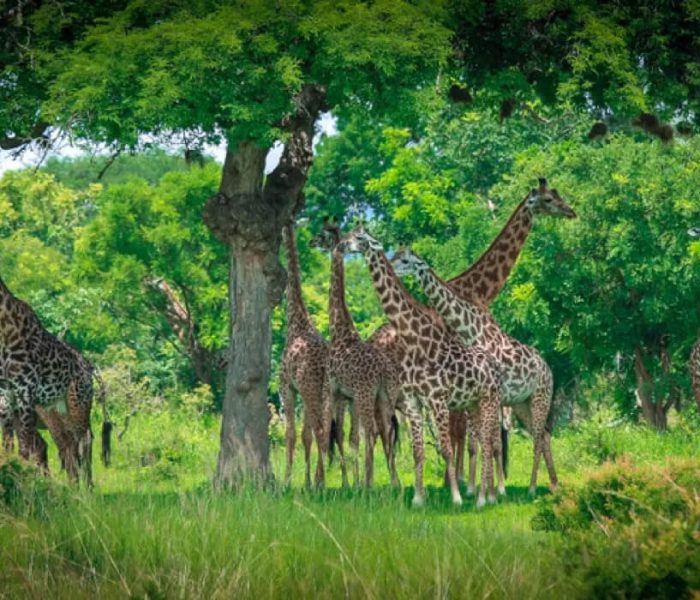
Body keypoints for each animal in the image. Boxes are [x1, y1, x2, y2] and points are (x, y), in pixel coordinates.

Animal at [0, 275, 110, 487]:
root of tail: (90, 368)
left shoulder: (25, 392)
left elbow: (24, 448)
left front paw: (23, 481)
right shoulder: (6, 394)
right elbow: (7, 445)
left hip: (77, 405)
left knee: (83, 441)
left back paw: (86, 489)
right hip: (60, 409)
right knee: (68, 446)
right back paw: (73, 487)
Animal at [311, 218, 401, 488]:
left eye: (322, 234)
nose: (311, 241)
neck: (339, 329)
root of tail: (382, 372)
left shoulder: (332, 389)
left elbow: (328, 433)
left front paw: (321, 482)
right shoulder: (347, 396)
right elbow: (350, 438)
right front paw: (350, 481)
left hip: (366, 393)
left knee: (373, 434)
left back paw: (370, 485)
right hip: (386, 396)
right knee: (387, 433)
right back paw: (393, 484)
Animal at [337, 227, 504, 507]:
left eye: (359, 238)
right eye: (350, 233)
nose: (341, 245)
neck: (417, 343)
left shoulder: (438, 399)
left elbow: (446, 449)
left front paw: (456, 498)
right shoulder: (414, 402)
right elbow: (418, 451)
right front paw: (418, 498)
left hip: (490, 400)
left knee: (489, 441)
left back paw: (484, 498)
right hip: (473, 403)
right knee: (484, 441)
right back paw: (489, 495)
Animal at [392, 249, 558, 496]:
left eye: (405, 260)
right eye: (395, 255)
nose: (391, 267)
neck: (471, 330)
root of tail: (549, 369)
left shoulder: (494, 393)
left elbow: (492, 441)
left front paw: (496, 490)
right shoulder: (483, 395)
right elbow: (477, 442)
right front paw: (476, 489)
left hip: (540, 397)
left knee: (538, 438)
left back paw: (531, 488)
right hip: (522, 404)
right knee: (545, 435)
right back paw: (554, 483)